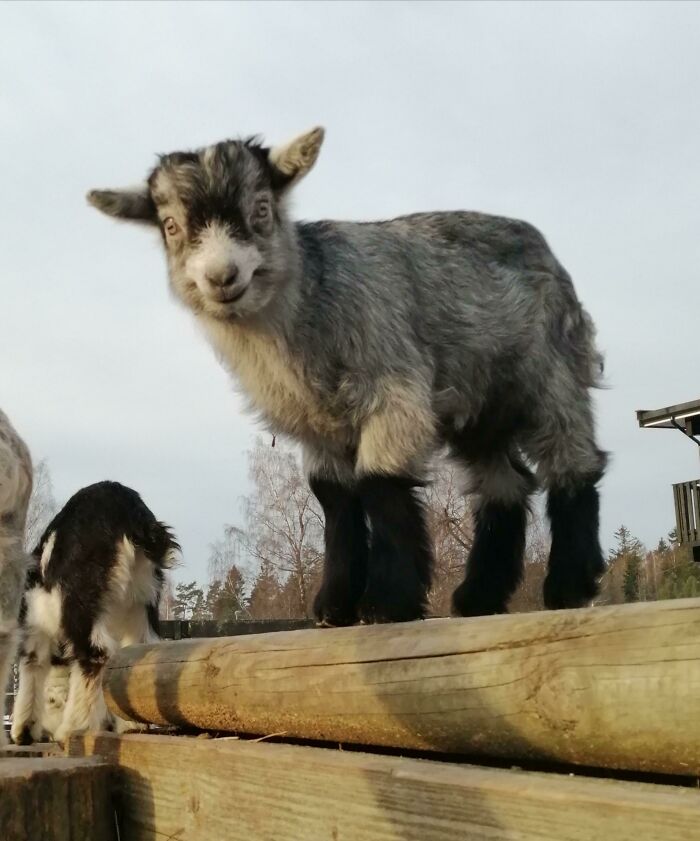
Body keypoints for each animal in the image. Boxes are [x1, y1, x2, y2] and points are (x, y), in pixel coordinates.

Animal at [11, 481, 178, 744]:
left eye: (53, 701)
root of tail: (130, 513)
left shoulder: (34, 626)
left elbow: (32, 666)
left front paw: (23, 730)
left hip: (80, 601)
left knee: (94, 654)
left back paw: (75, 728)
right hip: (142, 600)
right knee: (136, 655)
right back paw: (131, 724)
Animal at [88, 128, 607, 626]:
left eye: (261, 208)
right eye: (171, 226)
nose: (222, 276)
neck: (308, 301)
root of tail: (542, 246)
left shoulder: (393, 390)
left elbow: (380, 483)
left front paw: (386, 603)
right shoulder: (317, 427)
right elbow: (334, 499)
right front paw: (335, 606)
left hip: (550, 372)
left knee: (573, 462)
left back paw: (570, 585)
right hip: (479, 406)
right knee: (504, 484)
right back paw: (479, 596)